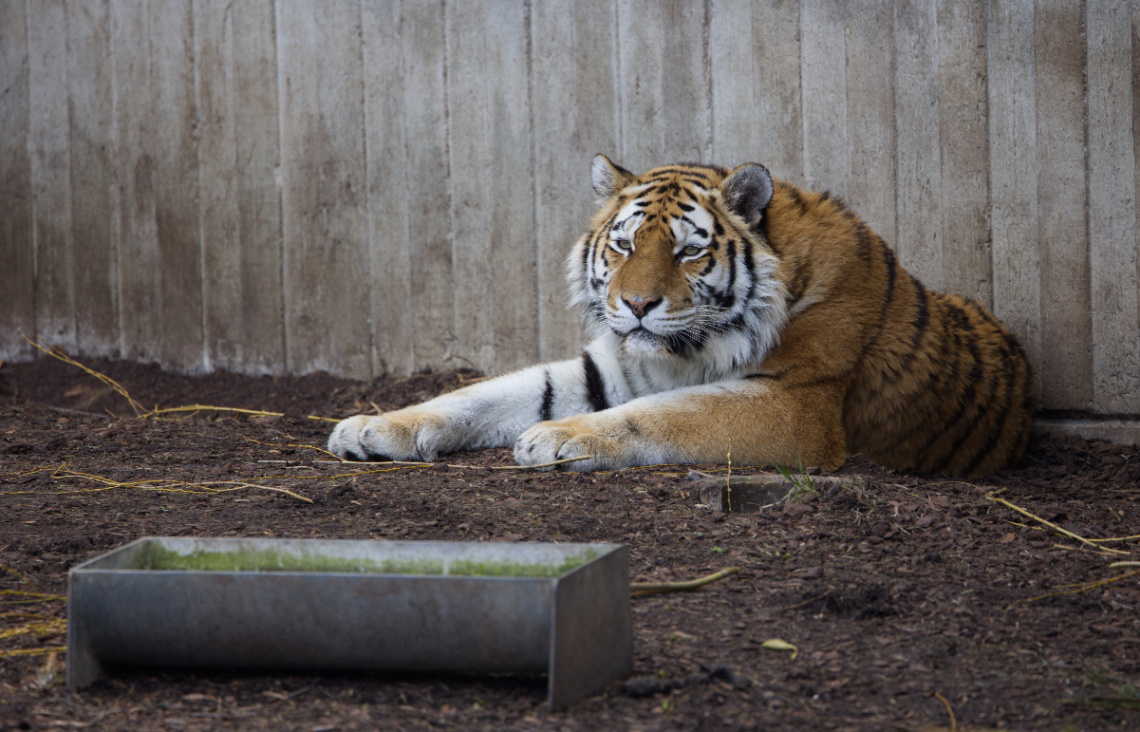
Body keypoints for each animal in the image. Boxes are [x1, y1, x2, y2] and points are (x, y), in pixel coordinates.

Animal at [329, 155, 1034, 479]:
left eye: (688, 251)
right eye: (623, 245)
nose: (637, 305)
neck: (693, 349)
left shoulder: (796, 405)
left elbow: (665, 416)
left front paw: (558, 438)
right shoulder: (606, 366)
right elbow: (479, 395)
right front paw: (372, 426)